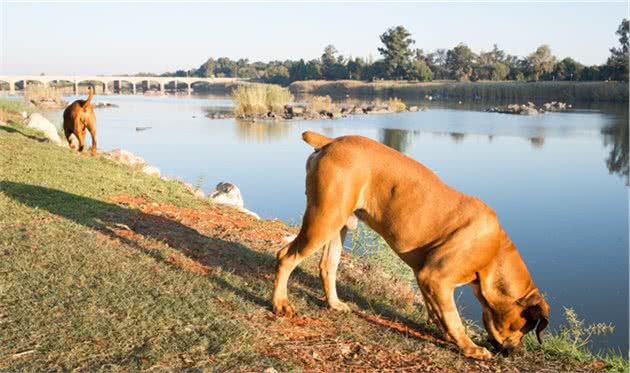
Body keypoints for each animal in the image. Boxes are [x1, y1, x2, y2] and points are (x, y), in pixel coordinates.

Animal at [274, 132, 552, 360]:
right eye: (524, 327)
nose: (516, 352)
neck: (493, 254)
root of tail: (331, 141)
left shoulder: (428, 280)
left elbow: (438, 312)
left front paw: (447, 336)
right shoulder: (436, 278)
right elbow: (453, 318)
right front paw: (470, 347)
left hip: (337, 225)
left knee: (327, 266)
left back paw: (334, 303)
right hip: (323, 220)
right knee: (286, 256)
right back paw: (280, 304)